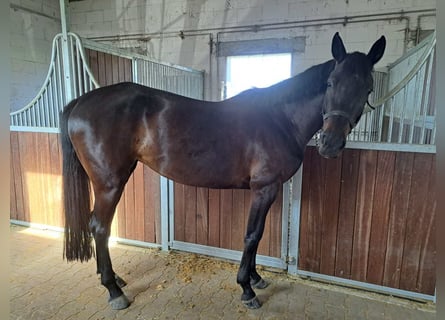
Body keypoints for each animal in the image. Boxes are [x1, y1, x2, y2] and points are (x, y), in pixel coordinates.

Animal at [60, 33, 384, 310]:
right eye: (330, 83)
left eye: (368, 89)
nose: (330, 144)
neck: (279, 118)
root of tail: (81, 102)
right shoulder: (264, 188)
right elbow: (251, 235)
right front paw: (247, 289)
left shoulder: (268, 190)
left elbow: (258, 234)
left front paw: (256, 278)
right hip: (109, 182)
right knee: (100, 227)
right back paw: (114, 290)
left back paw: (114, 278)